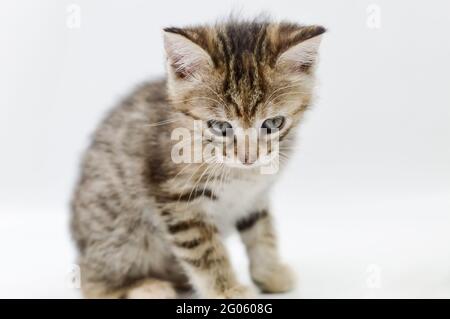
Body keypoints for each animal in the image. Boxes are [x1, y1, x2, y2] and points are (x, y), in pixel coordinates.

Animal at [70, 19, 326, 300]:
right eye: (220, 126)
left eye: (272, 124)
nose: (248, 157)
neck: (239, 173)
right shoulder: (178, 198)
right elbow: (205, 251)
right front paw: (227, 290)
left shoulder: (255, 195)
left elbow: (262, 231)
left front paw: (270, 272)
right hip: (119, 232)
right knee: (93, 282)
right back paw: (146, 287)